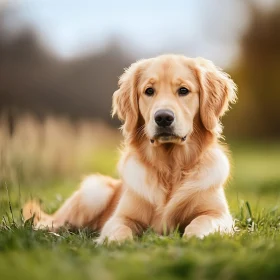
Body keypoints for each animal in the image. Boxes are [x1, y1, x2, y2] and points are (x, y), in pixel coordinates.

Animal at [23, 54, 236, 243]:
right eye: (149, 91)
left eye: (183, 90)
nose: (163, 118)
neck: (170, 169)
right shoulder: (120, 217)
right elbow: (120, 228)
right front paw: (115, 242)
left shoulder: (219, 214)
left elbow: (201, 222)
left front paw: (195, 237)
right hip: (94, 192)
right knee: (49, 222)